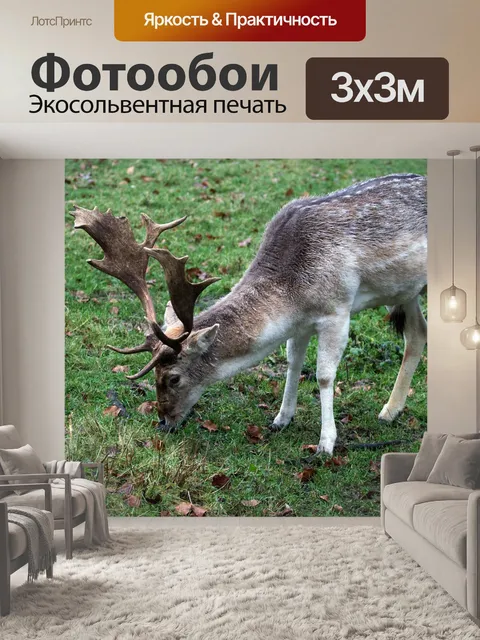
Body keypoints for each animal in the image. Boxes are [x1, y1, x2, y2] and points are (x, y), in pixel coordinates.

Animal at [72, 172, 427, 455]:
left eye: (173, 377)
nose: (164, 421)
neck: (293, 291)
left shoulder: (337, 309)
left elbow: (324, 375)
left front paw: (326, 444)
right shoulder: (302, 322)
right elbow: (293, 362)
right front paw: (281, 419)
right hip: (406, 293)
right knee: (417, 334)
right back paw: (390, 412)